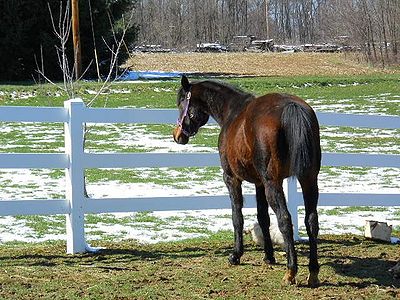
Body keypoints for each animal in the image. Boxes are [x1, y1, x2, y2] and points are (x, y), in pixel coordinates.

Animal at [173, 75, 322, 286]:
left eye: (181, 103)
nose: (177, 135)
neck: (232, 111)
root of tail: (291, 107)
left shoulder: (232, 178)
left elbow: (237, 217)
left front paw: (236, 255)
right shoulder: (259, 183)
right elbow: (263, 217)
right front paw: (269, 256)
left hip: (273, 184)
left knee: (285, 220)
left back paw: (291, 271)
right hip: (308, 179)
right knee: (311, 221)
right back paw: (313, 271)